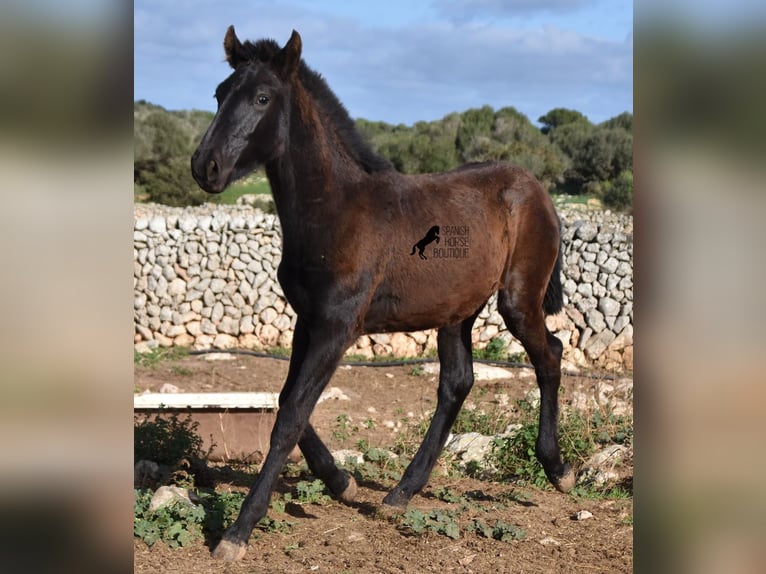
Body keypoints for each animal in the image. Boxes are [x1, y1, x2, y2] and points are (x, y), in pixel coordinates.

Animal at [192, 27, 576, 564]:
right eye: (219, 93)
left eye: (262, 98)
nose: (205, 167)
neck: (336, 210)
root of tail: (537, 188)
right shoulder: (307, 320)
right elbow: (287, 400)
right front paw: (343, 482)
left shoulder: (337, 326)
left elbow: (291, 415)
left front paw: (237, 532)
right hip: (457, 310)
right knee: (457, 382)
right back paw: (400, 493)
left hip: (518, 301)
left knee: (550, 355)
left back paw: (558, 470)